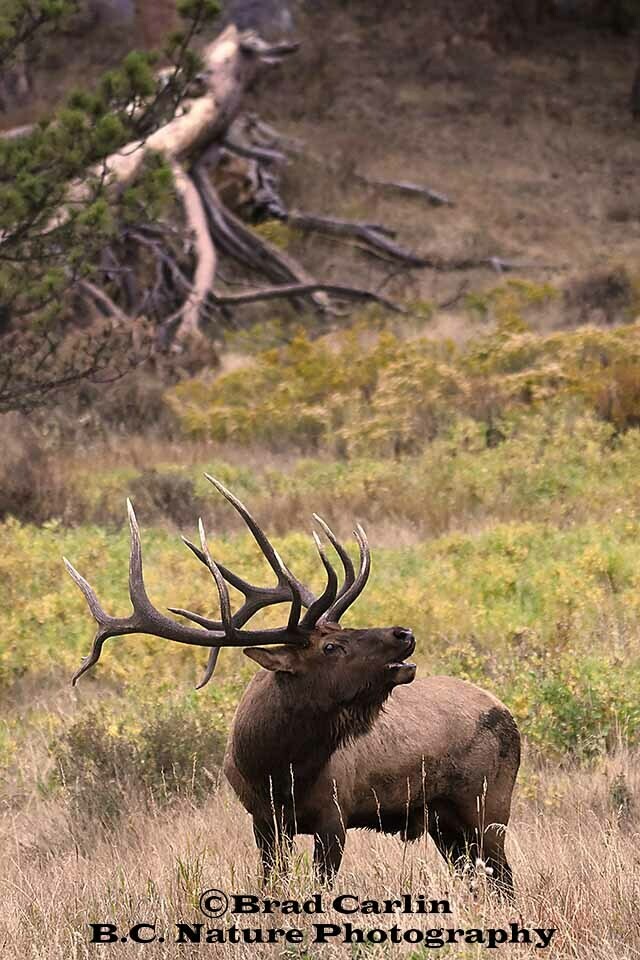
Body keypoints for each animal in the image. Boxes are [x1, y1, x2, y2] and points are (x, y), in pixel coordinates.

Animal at [66, 476, 521, 893]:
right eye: (332, 644)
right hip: (444, 821)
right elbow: (272, 882)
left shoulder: (334, 815)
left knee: (505, 879)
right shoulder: (264, 822)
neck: (276, 769)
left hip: (488, 804)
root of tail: (509, 714)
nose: (403, 633)